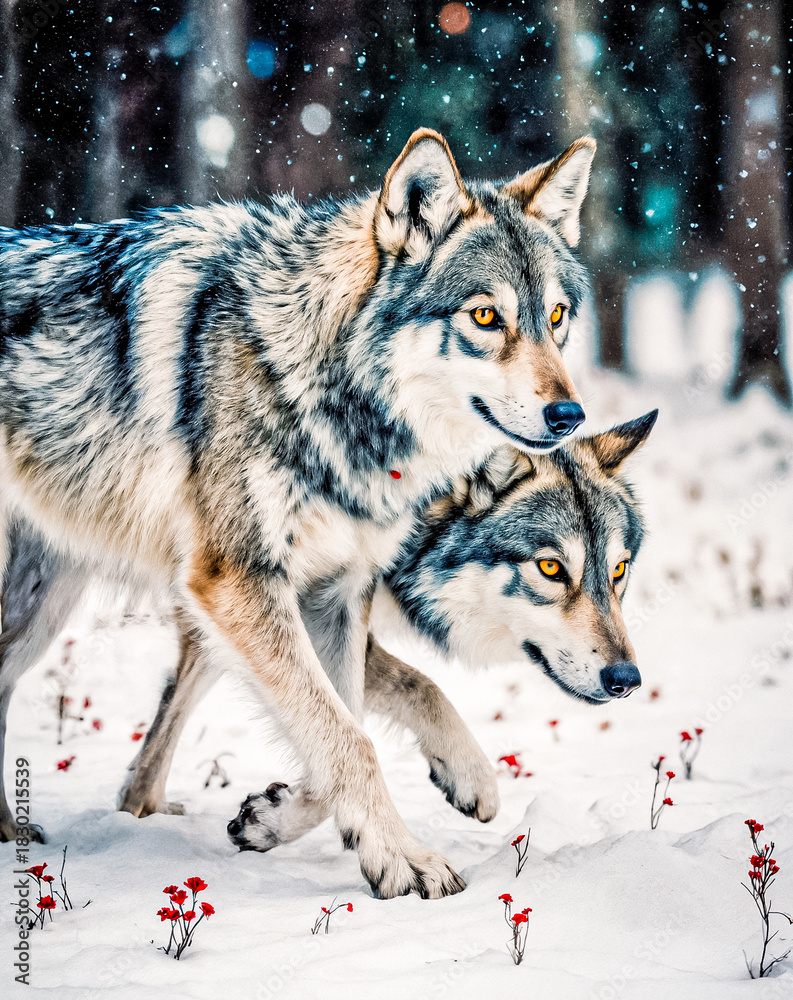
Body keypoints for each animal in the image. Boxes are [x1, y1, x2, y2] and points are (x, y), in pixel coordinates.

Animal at [0, 128, 595, 898]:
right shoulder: (238, 583)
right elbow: (348, 736)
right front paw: (405, 860)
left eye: (555, 316)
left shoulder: (332, 594)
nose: (568, 414)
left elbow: (348, 721)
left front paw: (286, 818)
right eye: (486, 317)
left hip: (49, 600)